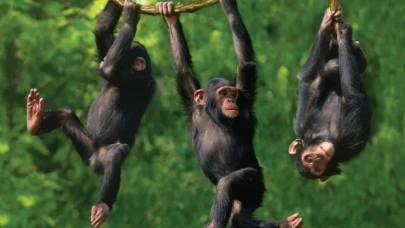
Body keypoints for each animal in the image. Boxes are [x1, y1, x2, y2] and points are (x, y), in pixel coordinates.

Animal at [25, 0, 155, 227]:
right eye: (113, 51)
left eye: (122, 55)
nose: (103, 60)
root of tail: (95, 162)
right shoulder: (108, 47)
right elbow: (102, 31)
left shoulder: (135, 80)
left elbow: (110, 70)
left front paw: (130, 18)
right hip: (86, 147)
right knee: (66, 115)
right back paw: (34, 120)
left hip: (105, 155)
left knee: (115, 155)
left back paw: (103, 206)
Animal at [156, 0, 302, 227]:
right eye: (223, 93)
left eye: (232, 93)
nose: (231, 100)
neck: (216, 118)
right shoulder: (193, 106)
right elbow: (183, 68)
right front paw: (170, 18)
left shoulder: (245, 97)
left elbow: (245, 64)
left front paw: (229, 6)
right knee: (239, 217)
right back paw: (283, 223)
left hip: (255, 183)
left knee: (228, 185)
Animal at [286, 5, 370, 182]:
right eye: (311, 163)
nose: (318, 157)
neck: (325, 135)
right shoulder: (348, 136)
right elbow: (352, 96)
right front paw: (343, 36)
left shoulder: (302, 121)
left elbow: (308, 79)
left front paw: (328, 24)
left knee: (327, 69)